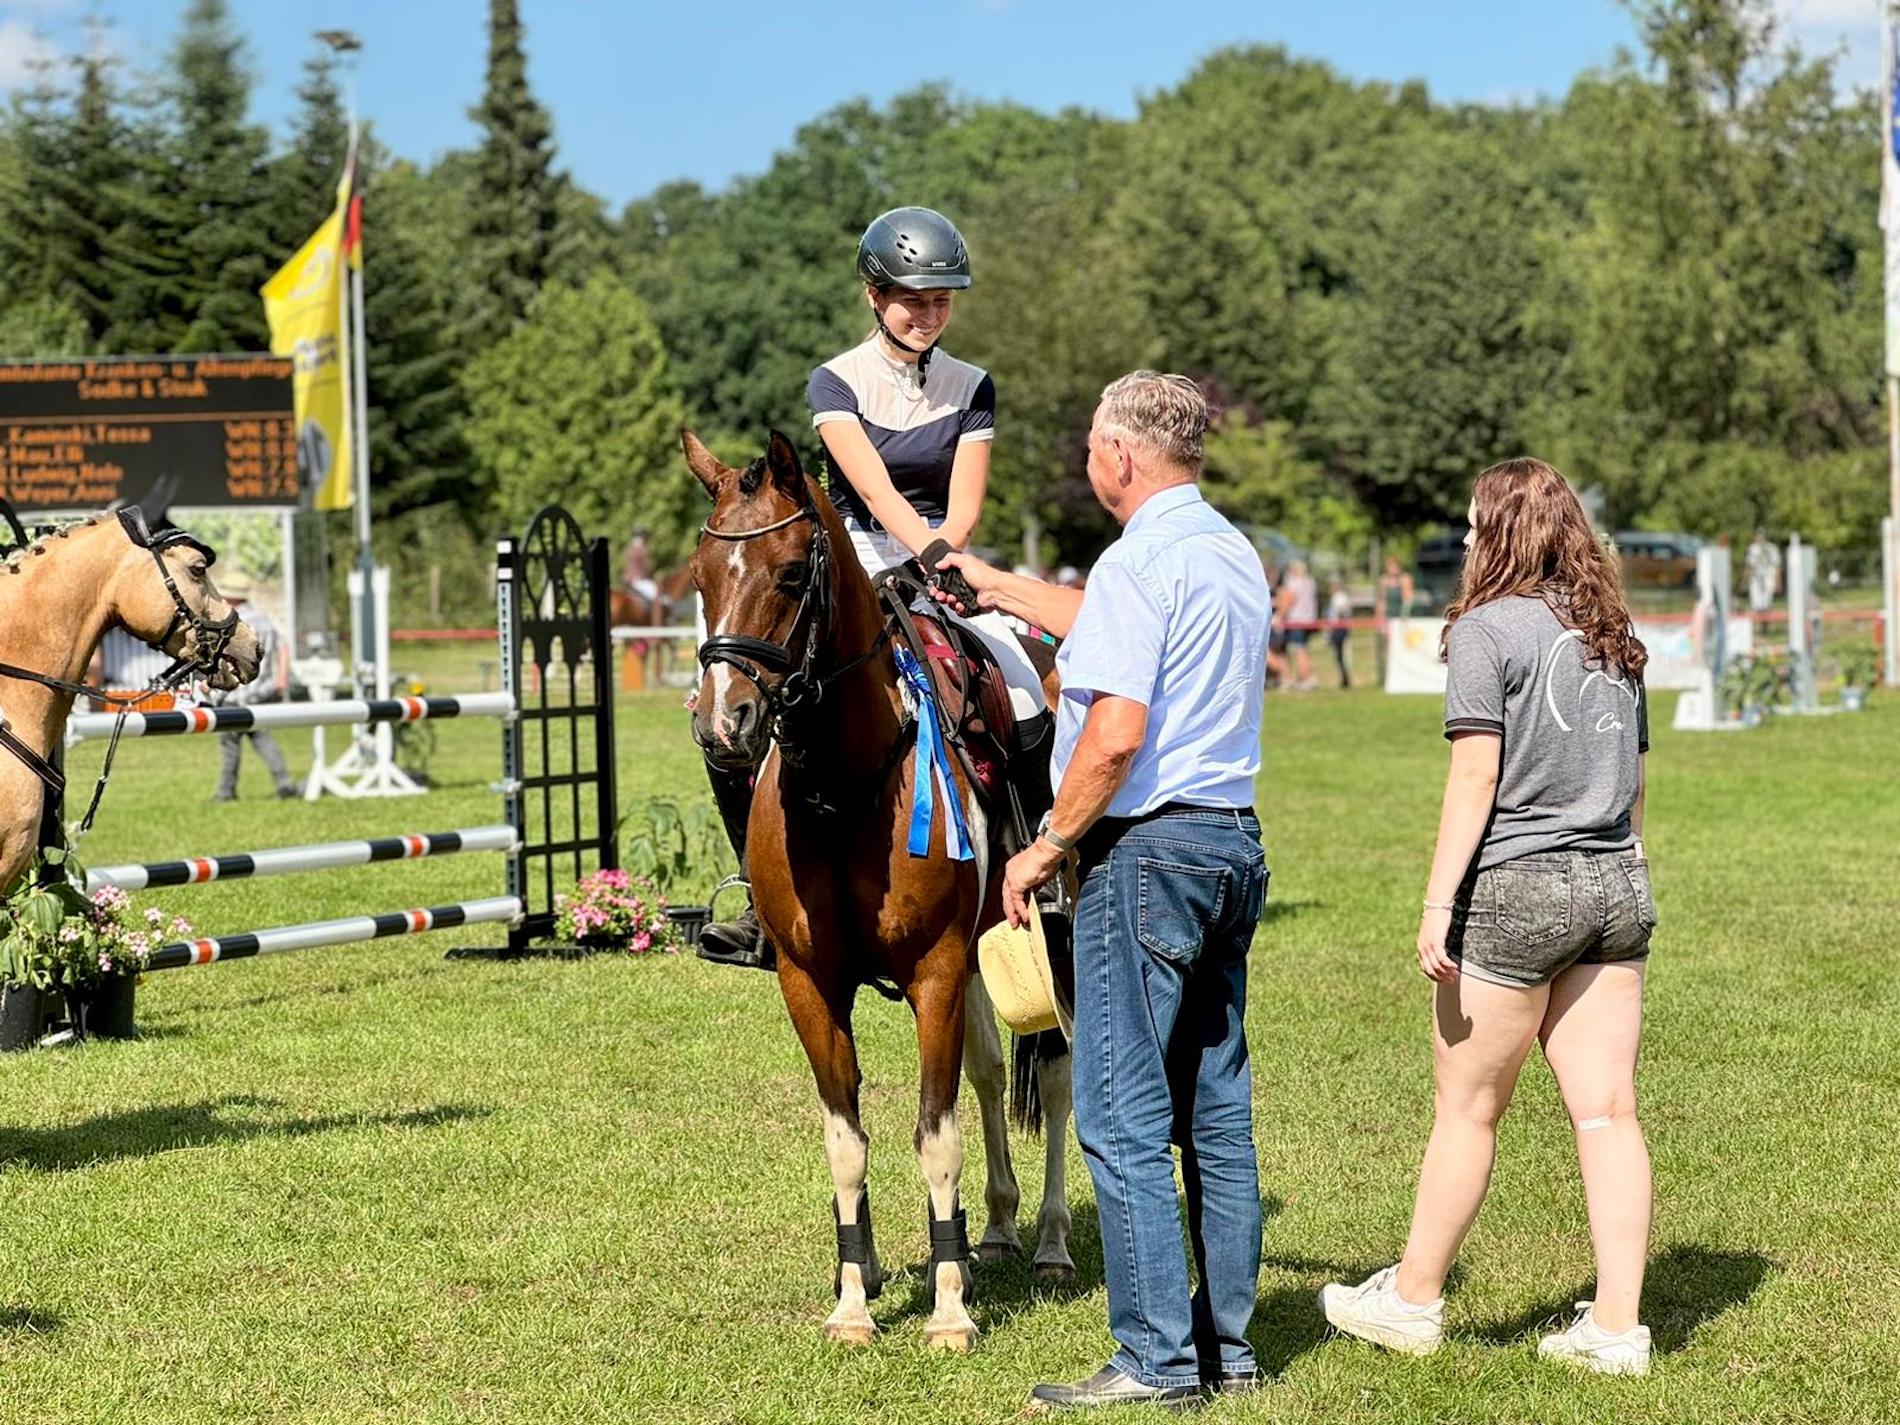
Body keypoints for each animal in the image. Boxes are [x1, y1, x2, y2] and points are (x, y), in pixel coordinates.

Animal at [680, 433, 1071, 1352]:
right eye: (700, 576)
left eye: (791, 573)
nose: (723, 723)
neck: (844, 784)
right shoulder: (811, 983)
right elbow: (846, 1140)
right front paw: (857, 1296)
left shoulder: (933, 971)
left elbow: (934, 1135)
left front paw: (950, 1310)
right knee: (990, 1072)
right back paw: (993, 1230)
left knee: (1058, 1078)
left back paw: (1047, 1241)